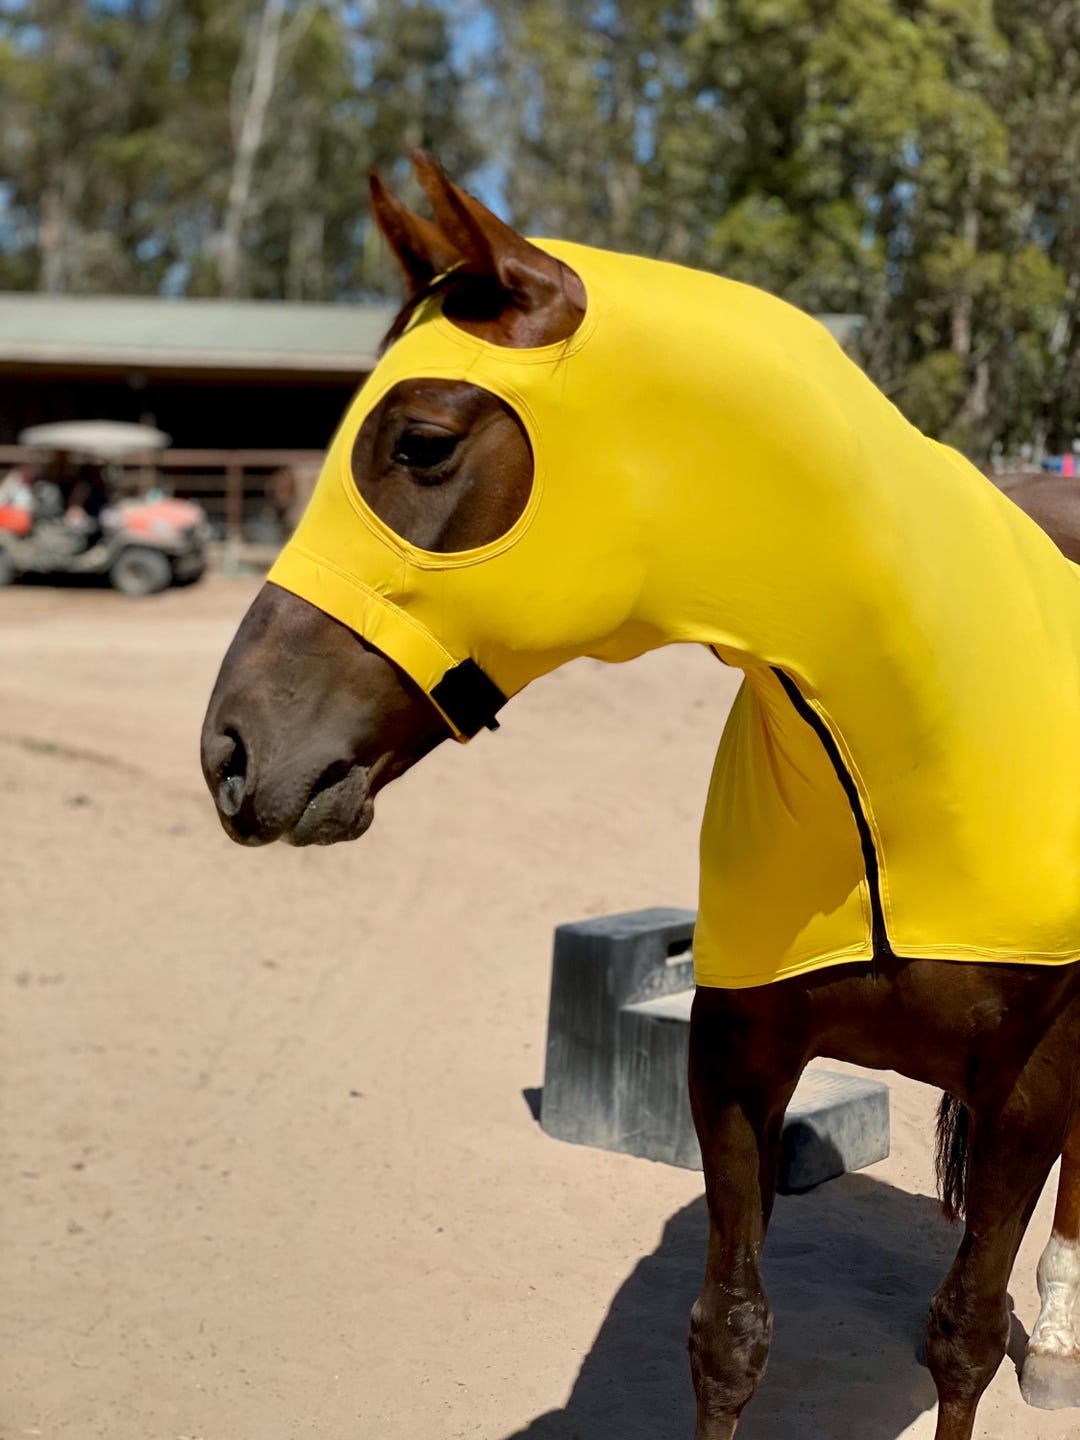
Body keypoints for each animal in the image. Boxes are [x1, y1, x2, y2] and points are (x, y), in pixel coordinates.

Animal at [201, 152, 1080, 1440]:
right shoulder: (737, 1057)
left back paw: (1058, 1342)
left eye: (420, 443)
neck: (900, 753)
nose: (230, 750)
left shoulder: (1028, 1087)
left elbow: (963, 1338)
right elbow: (730, 1336)